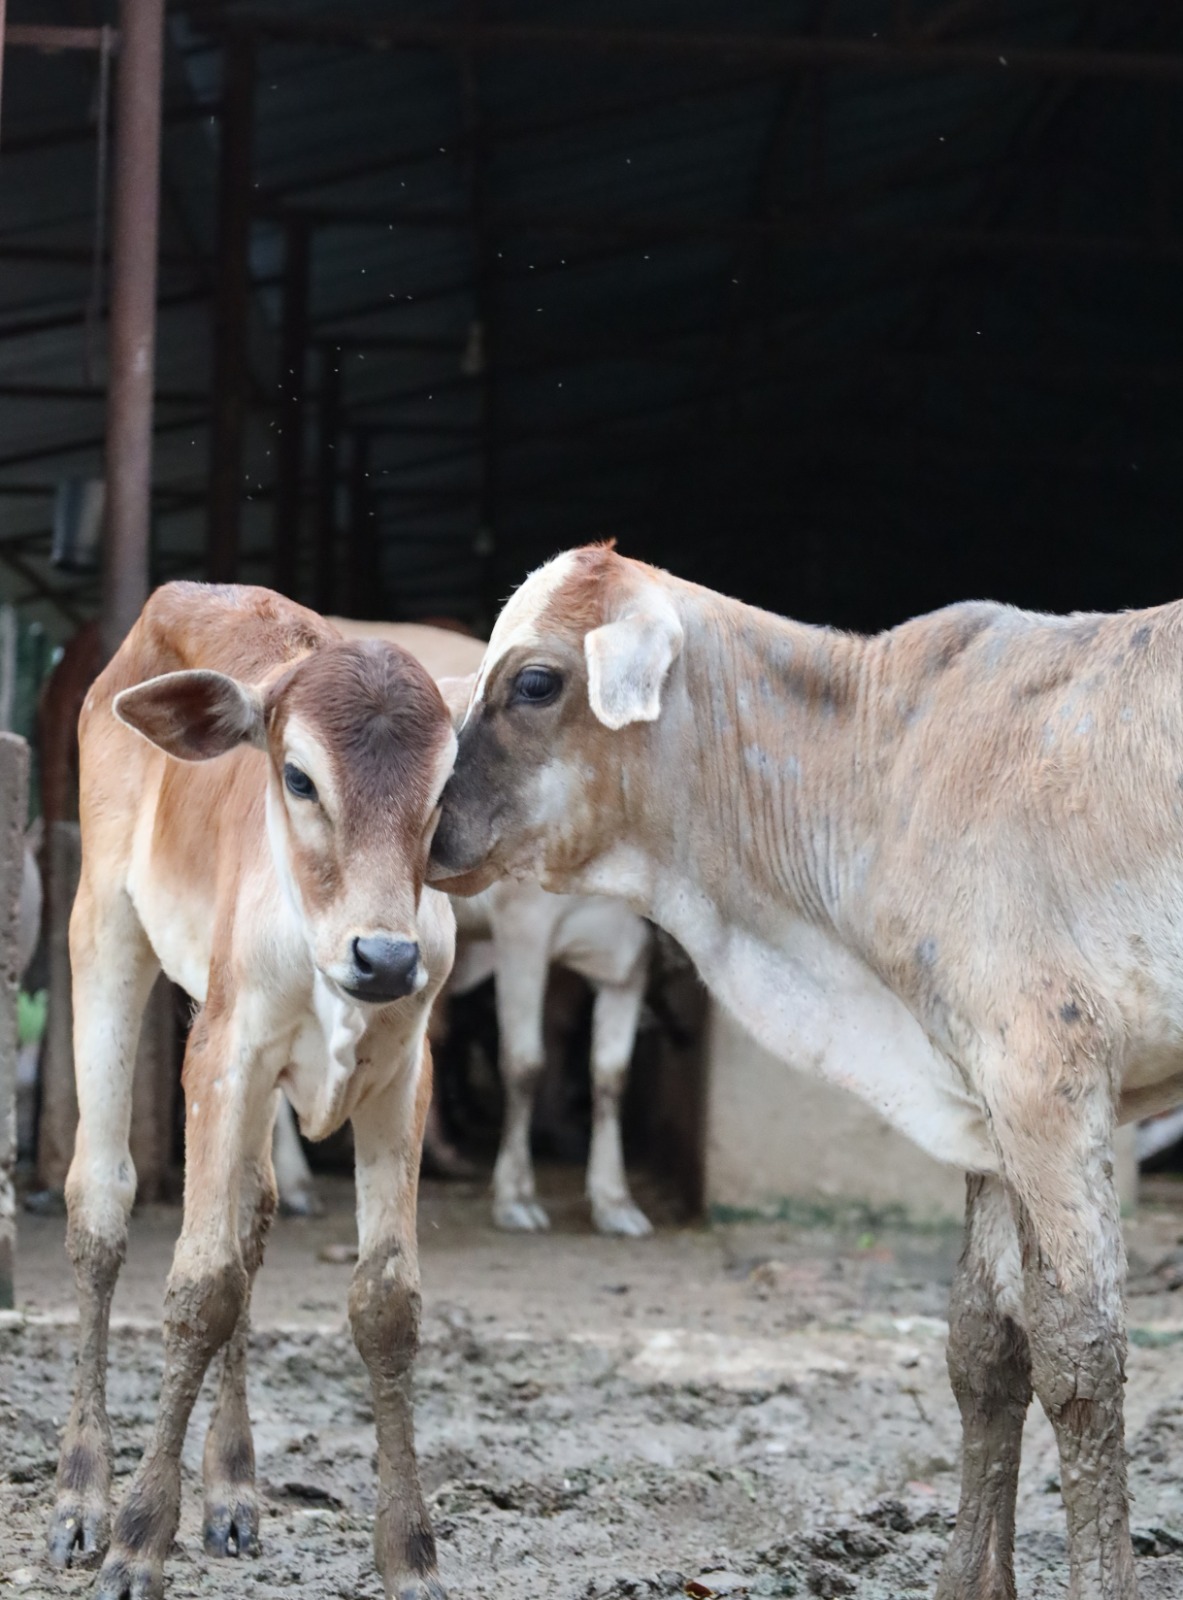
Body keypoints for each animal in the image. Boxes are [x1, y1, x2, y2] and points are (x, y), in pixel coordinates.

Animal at [49, 583, 456, 1600]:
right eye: (299, 779)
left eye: (444, 792)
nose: (385, 957)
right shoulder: (223, 1055)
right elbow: (199, 1287)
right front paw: (137, 1540)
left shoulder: (402, 1073)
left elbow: (385, 1303)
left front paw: (409, 1553)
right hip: (102, 930)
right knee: (100, 1204)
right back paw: (81, 1495)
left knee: (252, 1210)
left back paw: (232, 1488)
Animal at [427, 542, 1179, 1600]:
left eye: (534, 681)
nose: (421, 821)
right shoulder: (980, 1102)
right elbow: (984, 1345)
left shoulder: (1044, 1074)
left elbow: (1077, 1356)